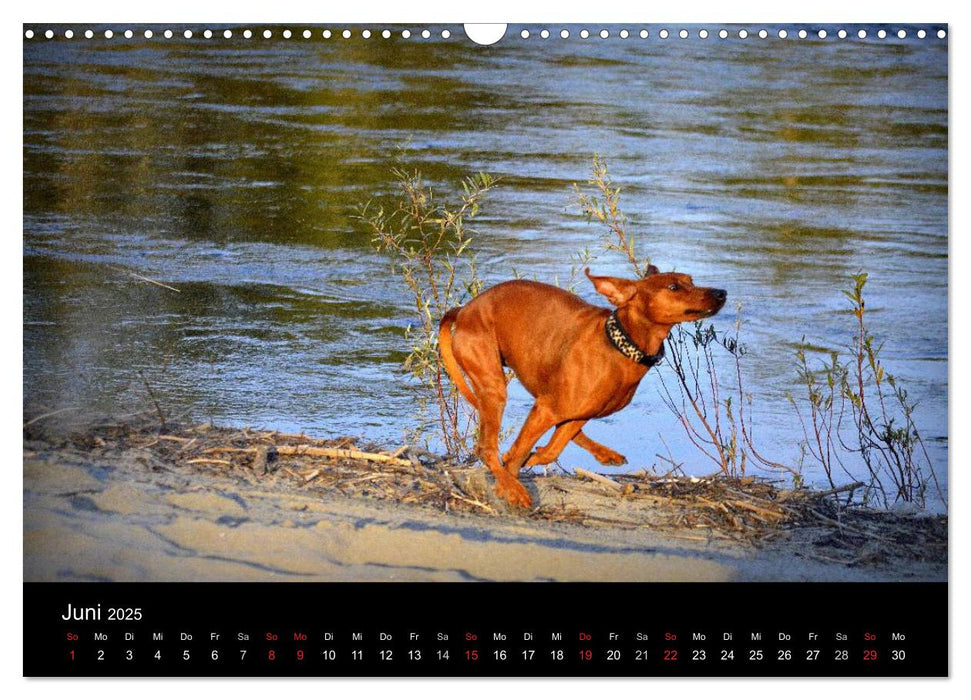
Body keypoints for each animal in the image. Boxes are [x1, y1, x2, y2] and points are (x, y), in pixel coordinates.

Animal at [440, 266, 728, 506]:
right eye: (673, 287)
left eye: (691, 280)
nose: (721, 292)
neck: (619, 346)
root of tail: (464, 310)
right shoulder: (547, 408)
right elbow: (517, 454)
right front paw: (509, 487)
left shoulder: (578, 413)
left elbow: (550, 450)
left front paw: (531, 459)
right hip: (494, 387)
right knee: (486, 448)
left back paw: (603, 453)